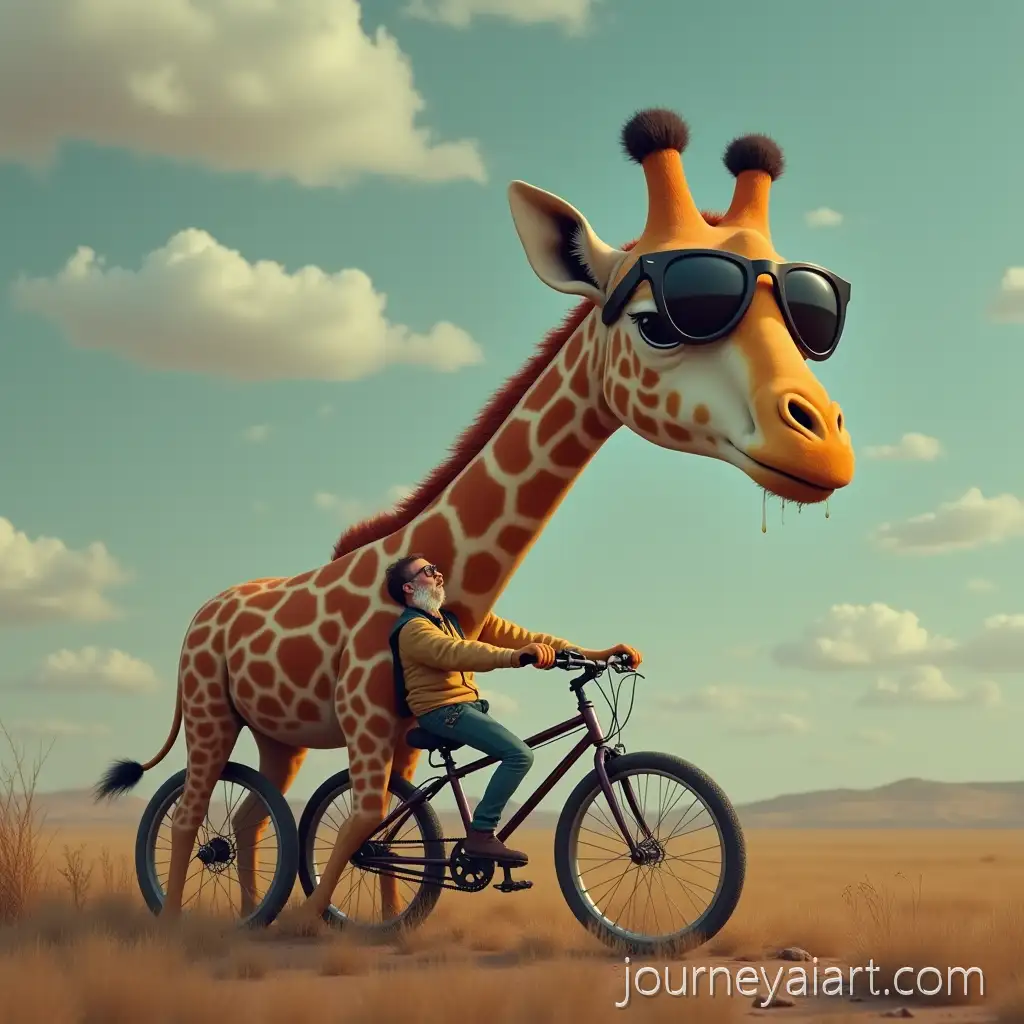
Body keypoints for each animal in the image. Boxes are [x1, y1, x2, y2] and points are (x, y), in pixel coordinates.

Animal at [95, 107, 855, 927]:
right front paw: (323, 918)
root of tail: (203, 613)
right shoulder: (368, 720)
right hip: (210, 710)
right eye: (660, 323)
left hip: (278, 732)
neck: (445, 581)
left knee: (247, 816)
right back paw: (177, 919)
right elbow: (368, 823)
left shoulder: (401, 732)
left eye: (811, 322)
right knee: (188, 812)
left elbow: (386, 826)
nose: (824, 446)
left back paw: (247, 916)